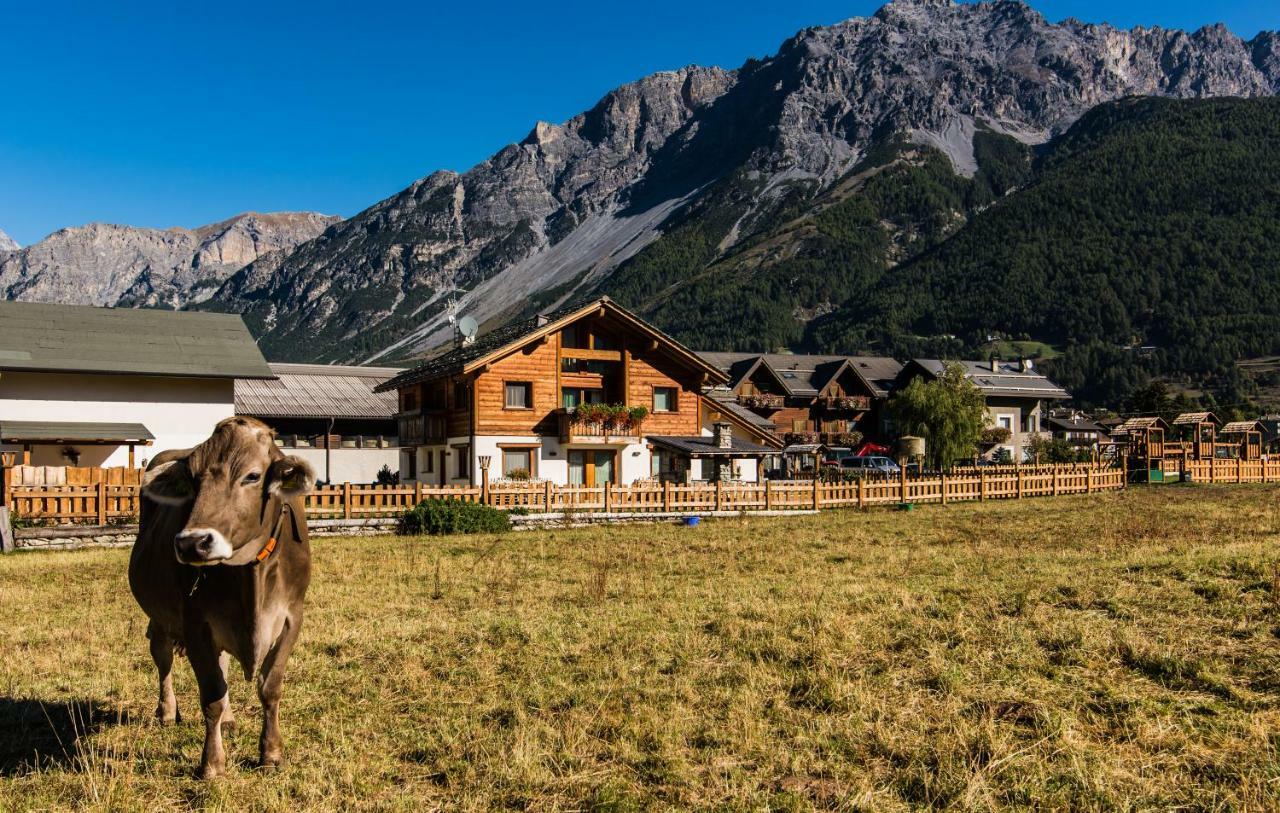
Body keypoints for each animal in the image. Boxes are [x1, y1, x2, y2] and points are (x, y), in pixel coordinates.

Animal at [126, 417, 314, 778]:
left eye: (252, 476)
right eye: (193, 479)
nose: (192, 543)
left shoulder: (292, 618)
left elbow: (270, 688)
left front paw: (271, 753)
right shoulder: (196, 624)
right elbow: (211, 695)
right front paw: (212, 763)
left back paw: (228, 718)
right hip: (159, 617)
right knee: (162, 658)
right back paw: (166, 711)